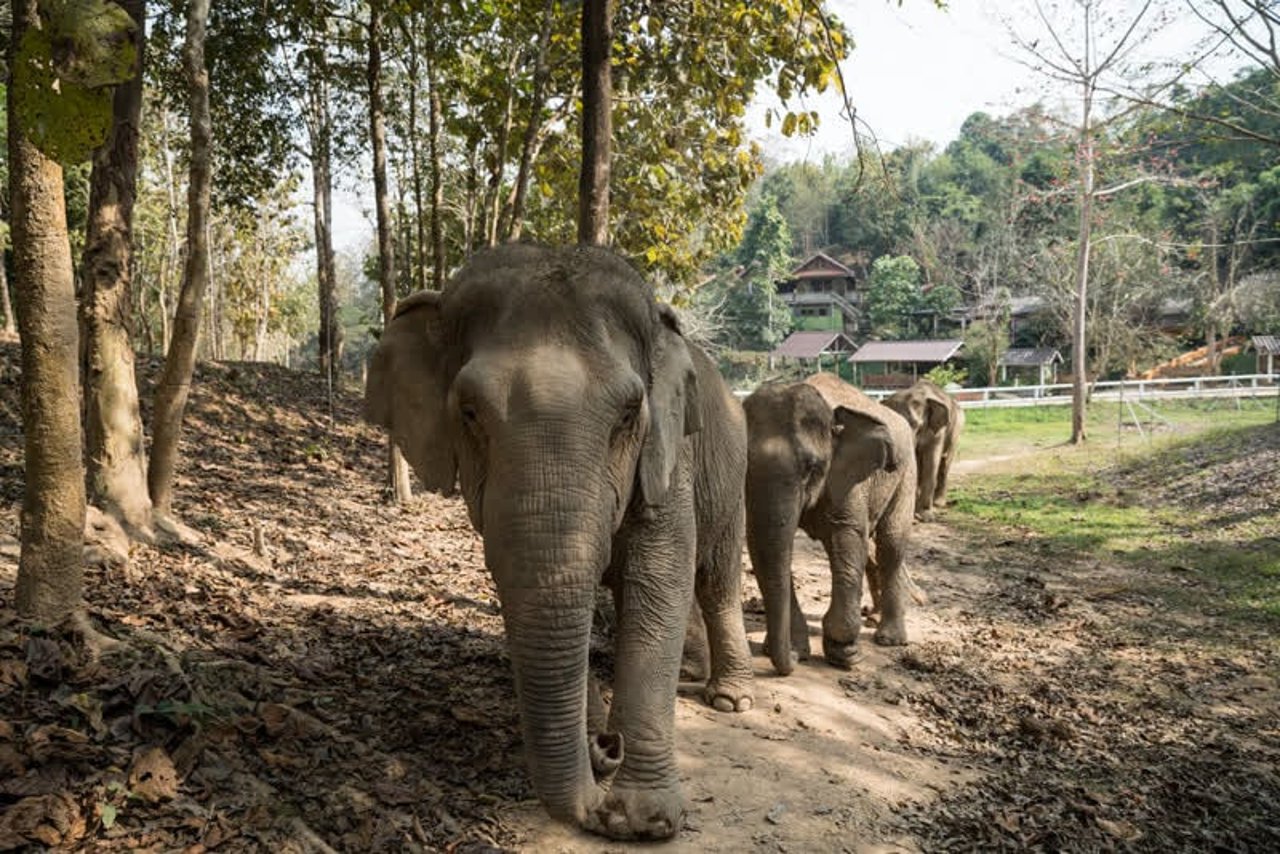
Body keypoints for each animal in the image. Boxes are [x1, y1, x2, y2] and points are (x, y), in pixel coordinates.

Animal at [360, 241, 752, 839]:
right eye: (469, 412)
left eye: (629, 413)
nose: (606, 749)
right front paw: (605, 756)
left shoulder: (670, 459)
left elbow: (660, 578)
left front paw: (646, 820)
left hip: (732, 482)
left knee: (715, 580)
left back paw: (729, 699)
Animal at [742, 371, 921, 676]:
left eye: (811, 468)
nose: (790, 659)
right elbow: (764, 545)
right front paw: (797, 649)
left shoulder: (848, 479)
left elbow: (847, 538)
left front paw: (846, 656)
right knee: (873, 548)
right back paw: (873, 618)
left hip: (906, 472)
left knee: (890, 544)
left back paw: (889, 639)